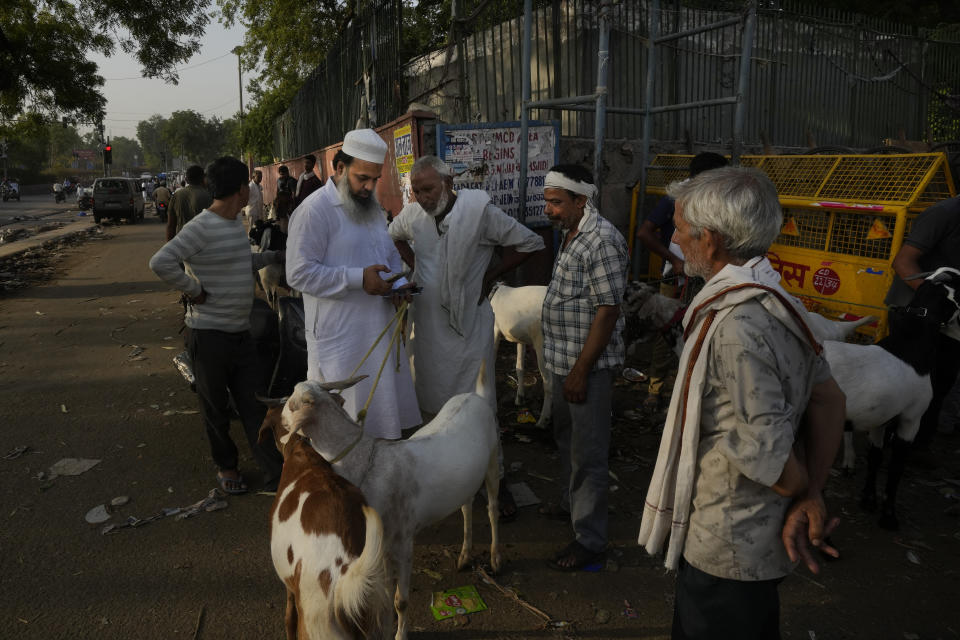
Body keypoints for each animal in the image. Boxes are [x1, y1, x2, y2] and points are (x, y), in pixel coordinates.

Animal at [272, 372, 502, 640]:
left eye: (291, 403)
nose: (280, 416)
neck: (367, 461)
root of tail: (476, 396)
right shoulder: (379, 544)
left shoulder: (404, 541)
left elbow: (400, 601)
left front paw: (400, 634)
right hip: (466, 481)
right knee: (466, 506)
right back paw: (464, 555)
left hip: (493, 459)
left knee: (492, 509)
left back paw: (496, 558)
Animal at [492, 284, 552, 424]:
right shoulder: (521, 339)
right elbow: (519, 367)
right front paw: (519, 398)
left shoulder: (495, 328)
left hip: (542, 342)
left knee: (548, 382)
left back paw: (543, 420)